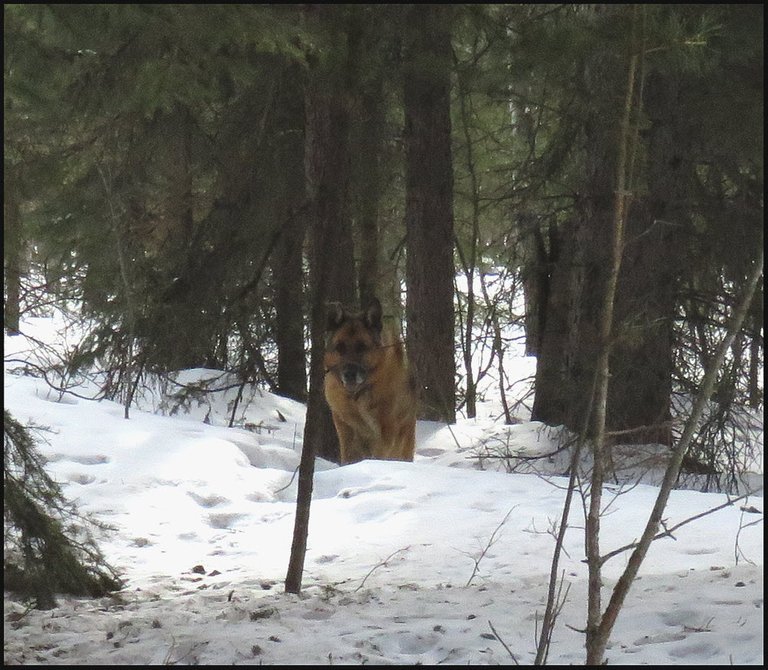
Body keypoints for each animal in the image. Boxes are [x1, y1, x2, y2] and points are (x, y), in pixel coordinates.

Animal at [326, 300, 420, 468]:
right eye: (340, 347)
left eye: (362, 347)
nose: (349, 374)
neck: (357, 396)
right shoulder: (345, 428)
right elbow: (347, 456)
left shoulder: (385, 431)